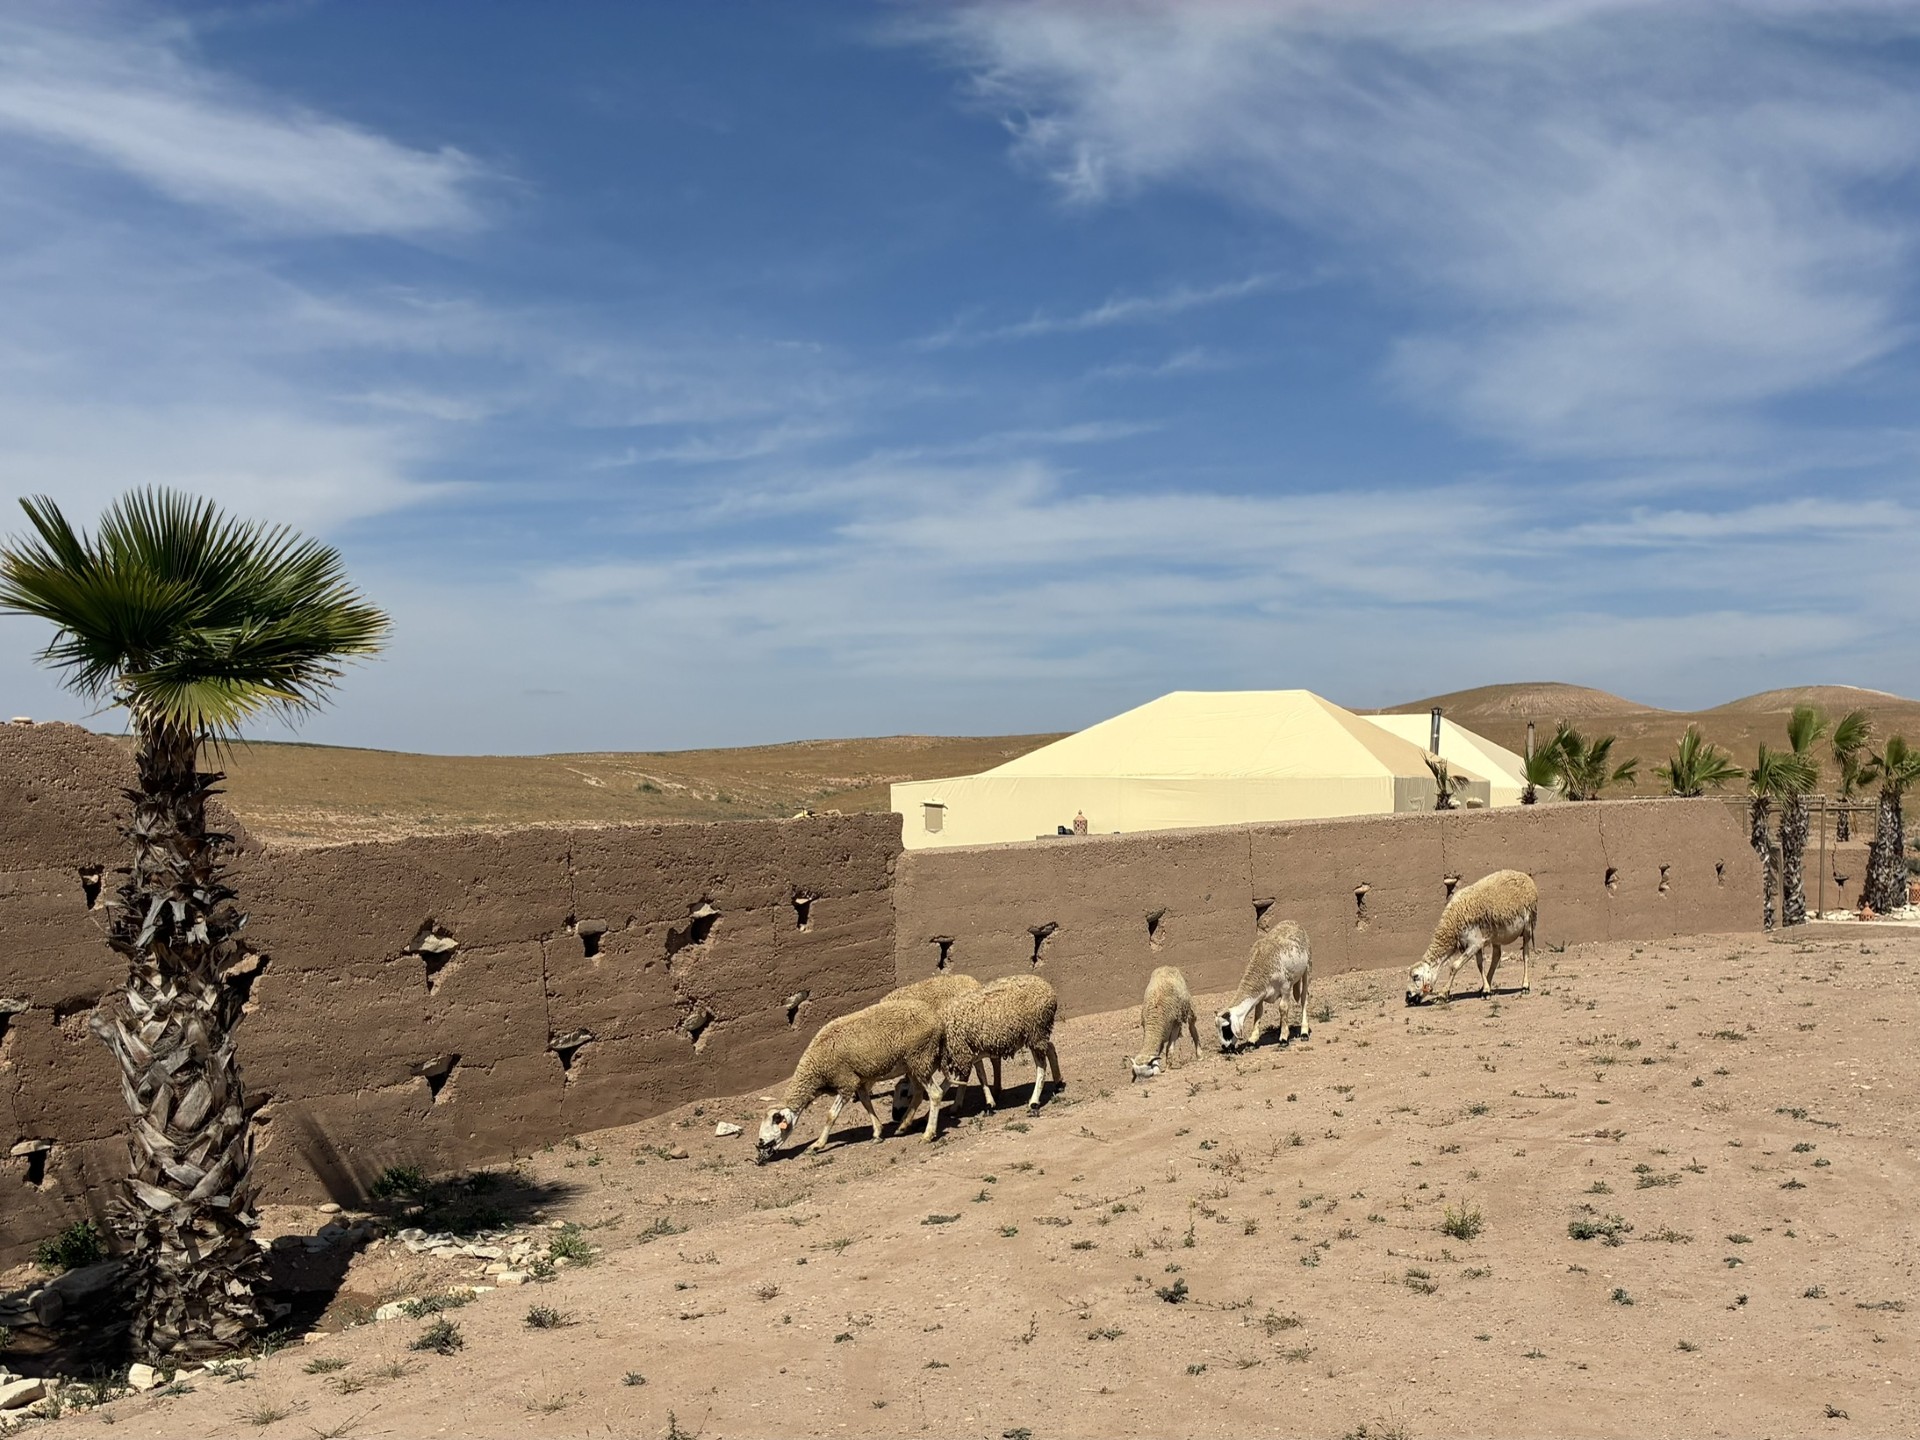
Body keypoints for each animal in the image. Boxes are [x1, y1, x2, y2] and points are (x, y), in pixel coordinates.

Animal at [755, 996, 947, 1162]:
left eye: (775, 1121)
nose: (759, 1149)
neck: (815, 1070)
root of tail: (935, 1018)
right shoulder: (859, 1081)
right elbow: (866, 1103)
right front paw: (877, 1133)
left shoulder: (845, 1082)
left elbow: (831, 1116)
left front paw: (816, 1145)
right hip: (912, 1064)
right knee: (918, 1093)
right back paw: (903, 1126)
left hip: (920, 1056)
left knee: (935, 1094)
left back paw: (927, 1135)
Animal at [938, 974, 1063, 1114]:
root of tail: (1047, 987)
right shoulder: (969, 1050)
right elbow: (979, 1075)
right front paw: (987, 1102)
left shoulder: (960, 1052)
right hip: (1036, 1034)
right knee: (1050, 1048)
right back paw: (1058, 1083)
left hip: (1036, 1030)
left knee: (1041, 1065)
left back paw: (1034, 1101)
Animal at [1215, 920, 1312, 1051]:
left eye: (1225, 1028)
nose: (1225, 1047)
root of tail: (1292, 922)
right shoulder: (1261, 994)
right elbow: (1258, 1014)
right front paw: (1252, 1040)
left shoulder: (1285, 987)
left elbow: (1282, 1008)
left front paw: (1283, 1038)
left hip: (1307, 967)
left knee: (1304, 999)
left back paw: (1304, 1032)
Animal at [1406, 869, 1538, 1005]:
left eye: (1416, 976)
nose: (1407, 997)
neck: (1453, 924)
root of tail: (1524, 875)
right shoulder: (1478, 943)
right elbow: (1480, 965)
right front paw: (1485, 990)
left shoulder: (1474, 944)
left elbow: (1454, 966)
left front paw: (1443, 994)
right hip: (1496, 935)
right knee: (1496, 956)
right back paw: (1484, 987)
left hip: (1528, 925)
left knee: (1525, 954)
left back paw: (1525, 986)